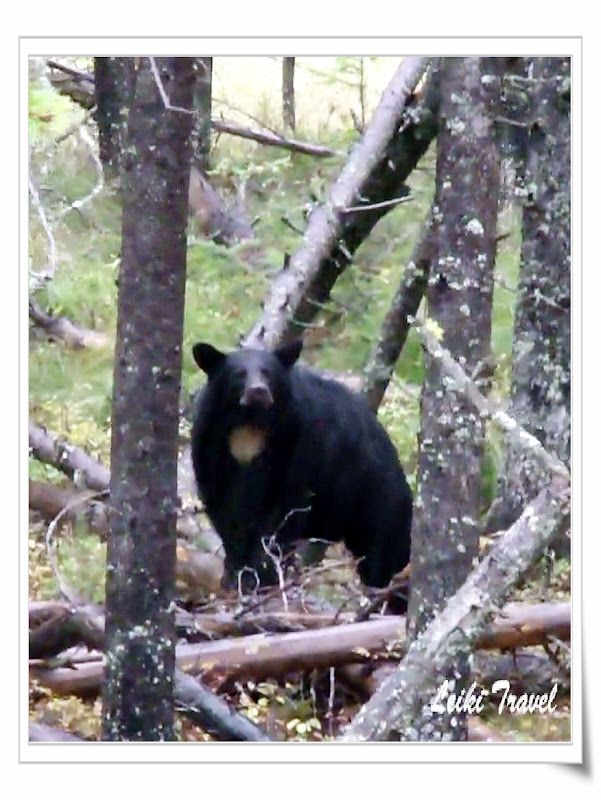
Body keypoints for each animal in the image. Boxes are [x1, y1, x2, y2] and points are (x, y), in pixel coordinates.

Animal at [192, 340, 412, 596]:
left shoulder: (298, 440)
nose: (258, 391)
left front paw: (262, 574)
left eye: (268, 373)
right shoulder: (210, 443)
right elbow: (223, 509)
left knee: (386, 553)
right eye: (239, 374)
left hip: (378, 500)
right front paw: (234, 574)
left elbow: (285, 507)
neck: (251, 426)